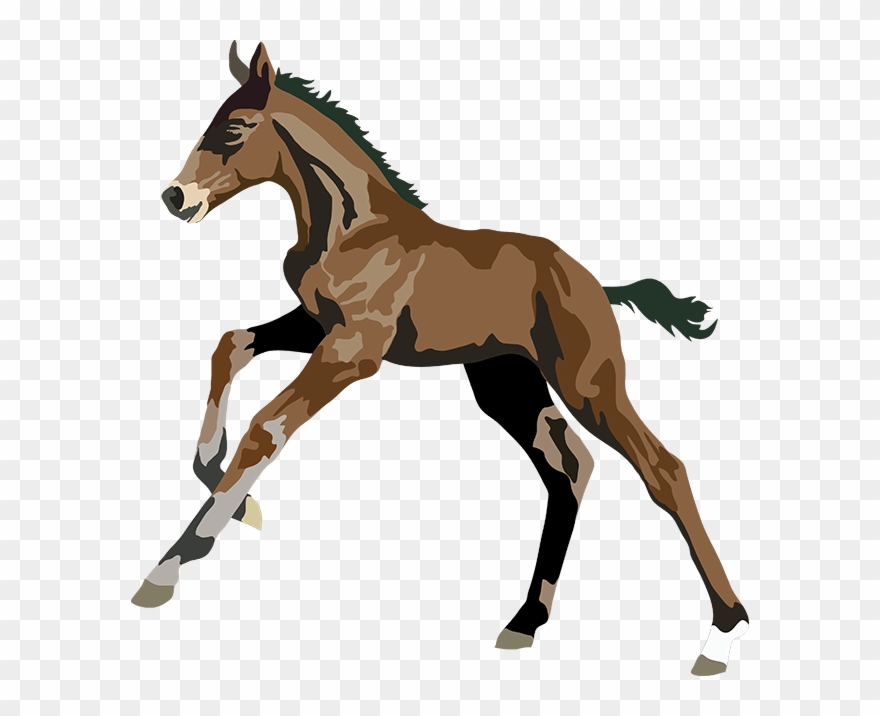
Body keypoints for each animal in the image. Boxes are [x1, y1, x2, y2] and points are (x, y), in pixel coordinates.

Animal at [133, 42, 748, 677]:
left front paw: (170, 566)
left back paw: (723, 634)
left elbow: (268, 425)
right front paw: (225, 484)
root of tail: (597, 285)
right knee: (569, 466)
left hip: (588, 385)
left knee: (662, 469)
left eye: (234, 127)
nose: (176, 197)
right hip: (506, 384)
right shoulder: (317, 325)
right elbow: (230, 344)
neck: (352, 227)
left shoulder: (354, 349)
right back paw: (526, 621)